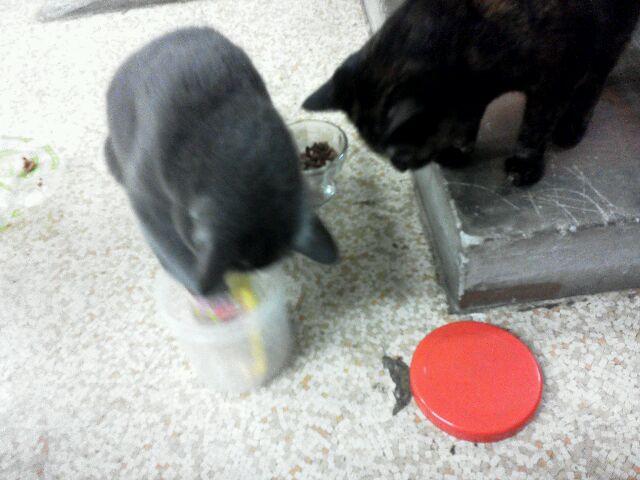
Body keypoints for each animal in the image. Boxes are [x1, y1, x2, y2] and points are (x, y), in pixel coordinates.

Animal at [304, 0, 640, 186]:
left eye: (401, 150)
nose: (400, 167)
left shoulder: (552, 80)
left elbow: (533, 129)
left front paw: (525, 166)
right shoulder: (470, 95)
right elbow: (466, 121)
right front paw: (458, 151)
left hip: (610, 35)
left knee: (594, 80)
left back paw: (570, 129)